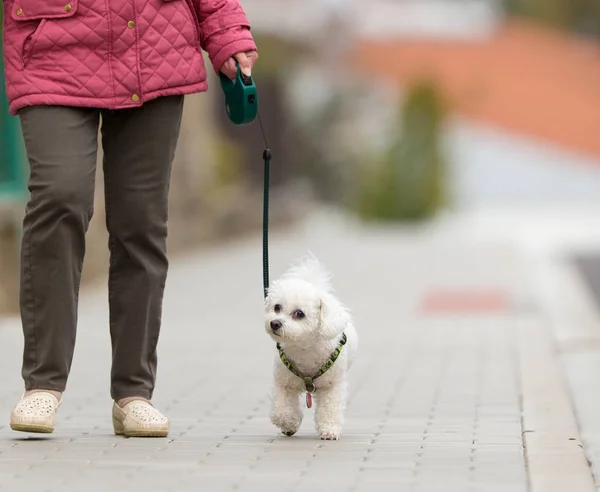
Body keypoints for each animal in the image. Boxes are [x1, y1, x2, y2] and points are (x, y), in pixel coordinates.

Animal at [264, 256, 356, 440]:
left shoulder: (332, 386)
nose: (274, 323)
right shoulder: (283, 383)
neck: (304, 348)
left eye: (299, 313)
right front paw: (289, 424)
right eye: (277, 307)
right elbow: (281, 411)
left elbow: (330, 409)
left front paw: (329, 430)